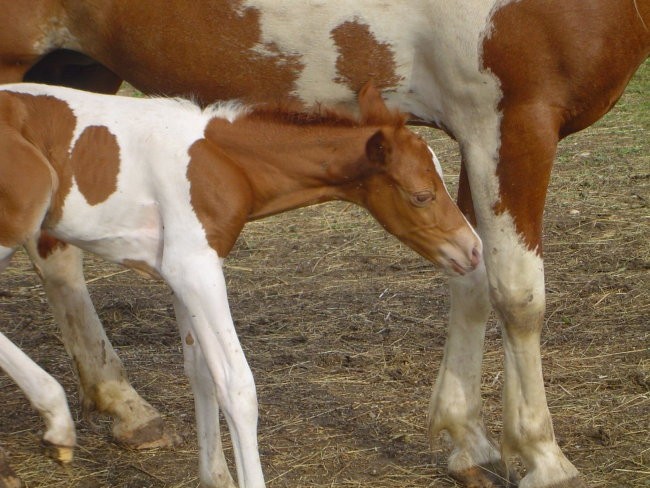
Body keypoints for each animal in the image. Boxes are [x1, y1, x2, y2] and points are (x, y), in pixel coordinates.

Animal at [0, 83, 476, 488]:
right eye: (421, 195)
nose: (473, 249)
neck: (224, 163)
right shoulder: (195, 266)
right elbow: (236, 384)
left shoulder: (181, 271)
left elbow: (202, 372)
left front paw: (215, 477)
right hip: (19, 215)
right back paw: (56, 421)